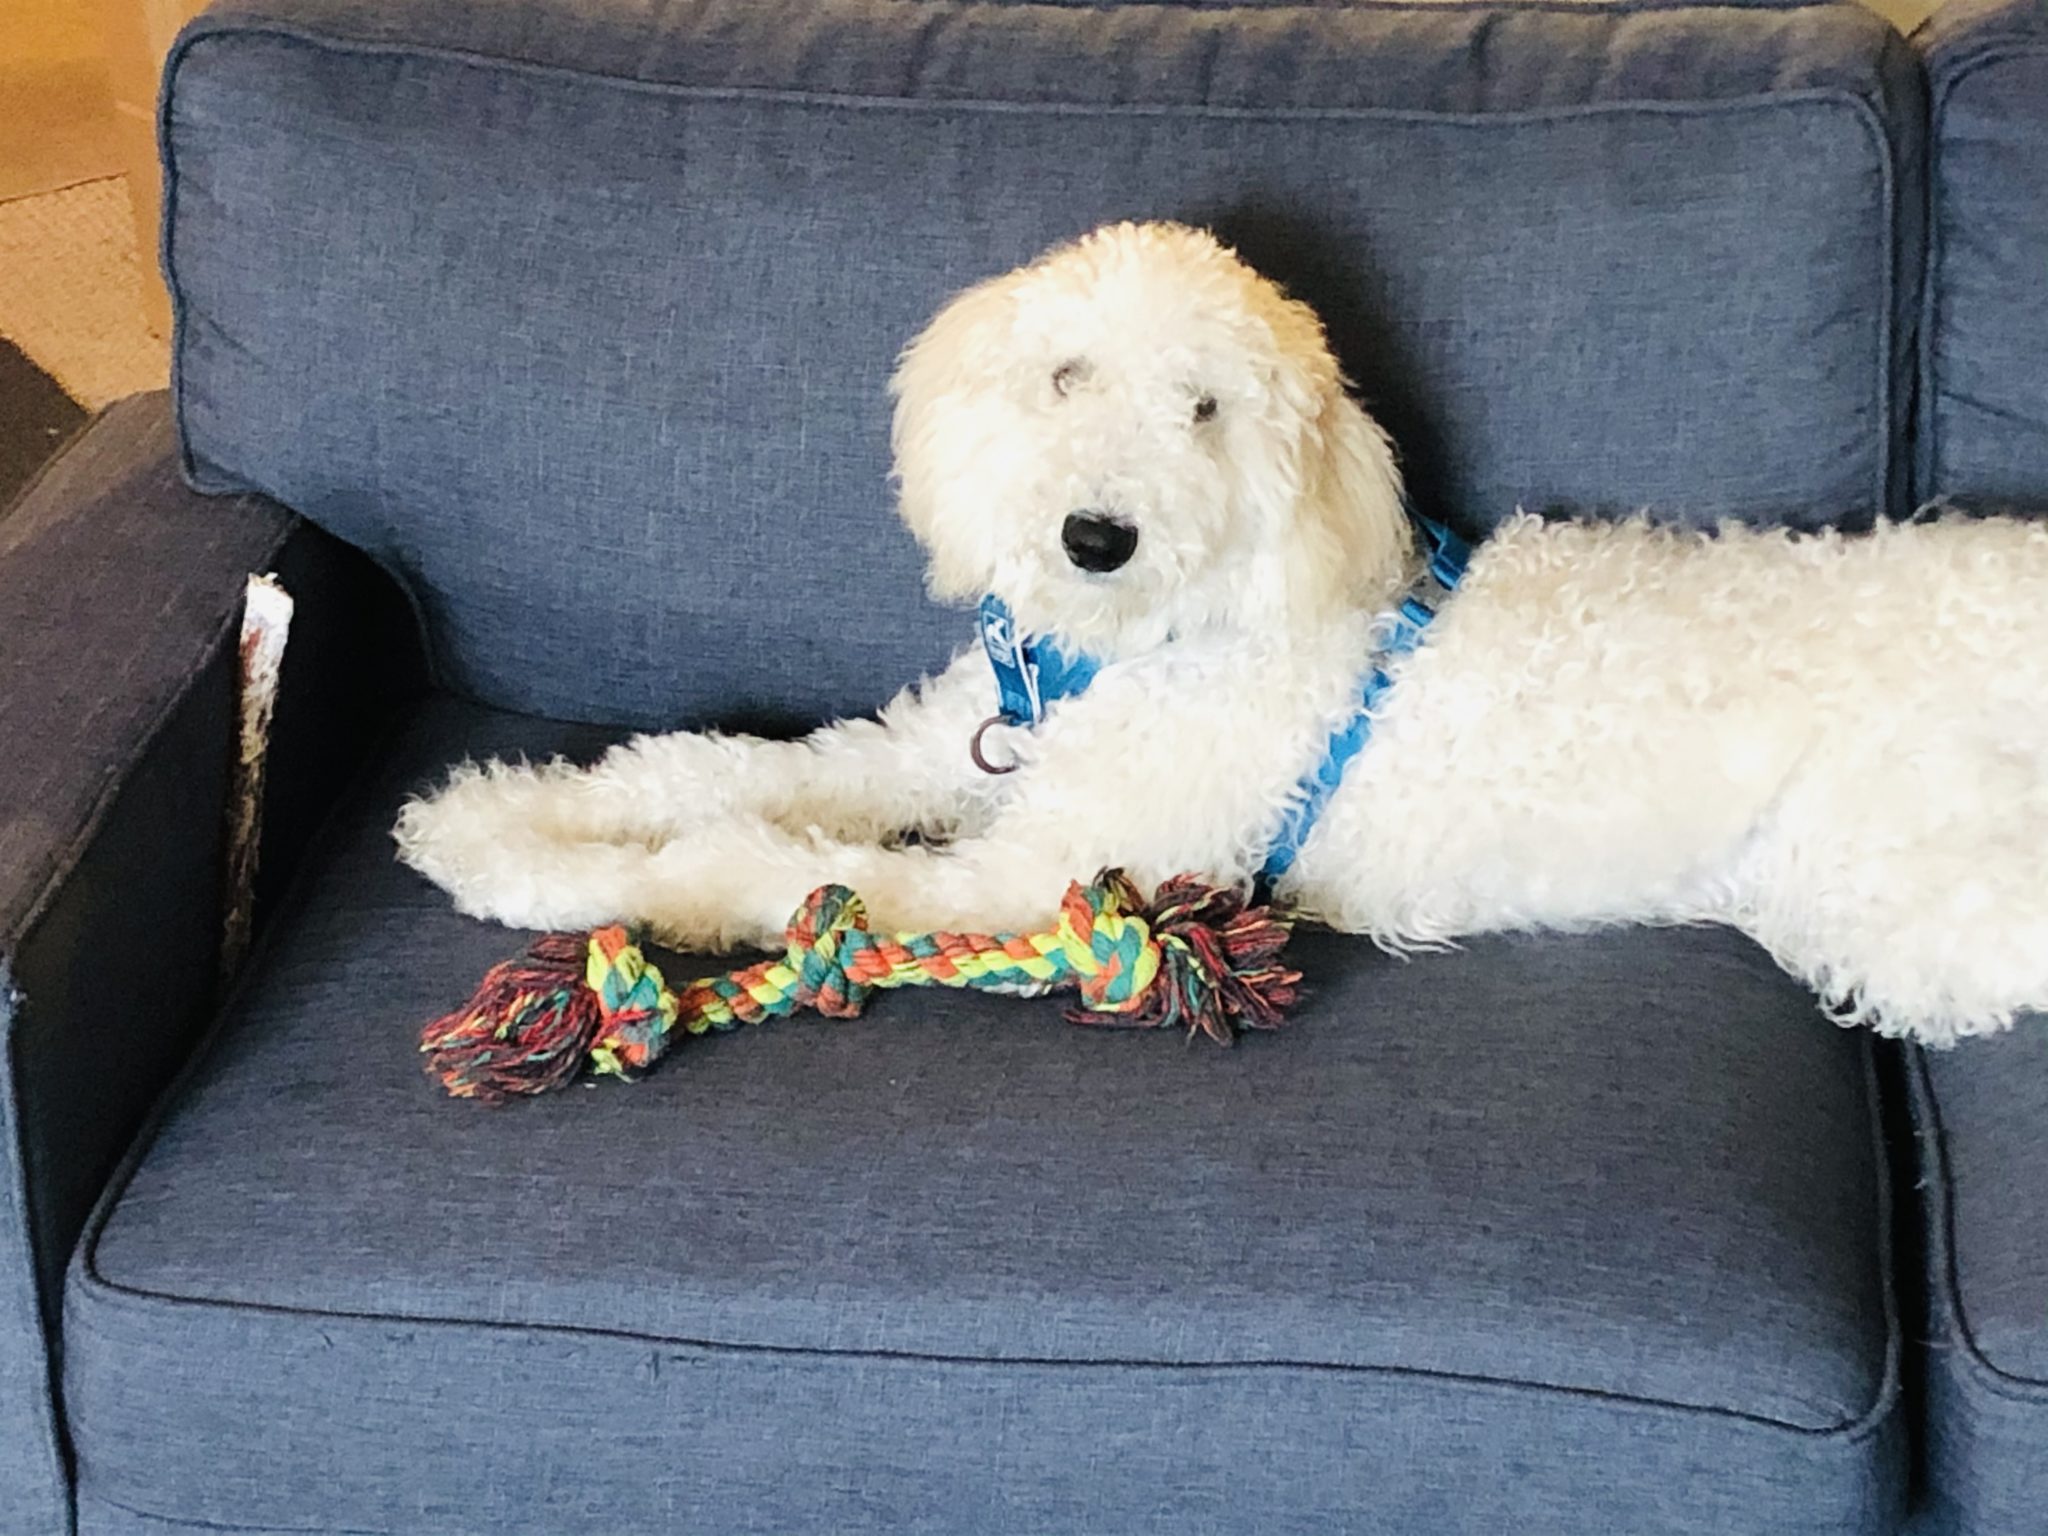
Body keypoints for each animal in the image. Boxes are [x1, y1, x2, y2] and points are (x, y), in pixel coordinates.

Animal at [395, 219, 2048, 1048]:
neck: (1135, 647)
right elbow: (715, 767)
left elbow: (777, 866)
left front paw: (608, 888)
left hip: (1871, 885)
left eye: (1206, 409)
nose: (1096, 536)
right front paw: (499, 819)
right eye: (1064, 375)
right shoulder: (942, 751)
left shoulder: (1033, 875)